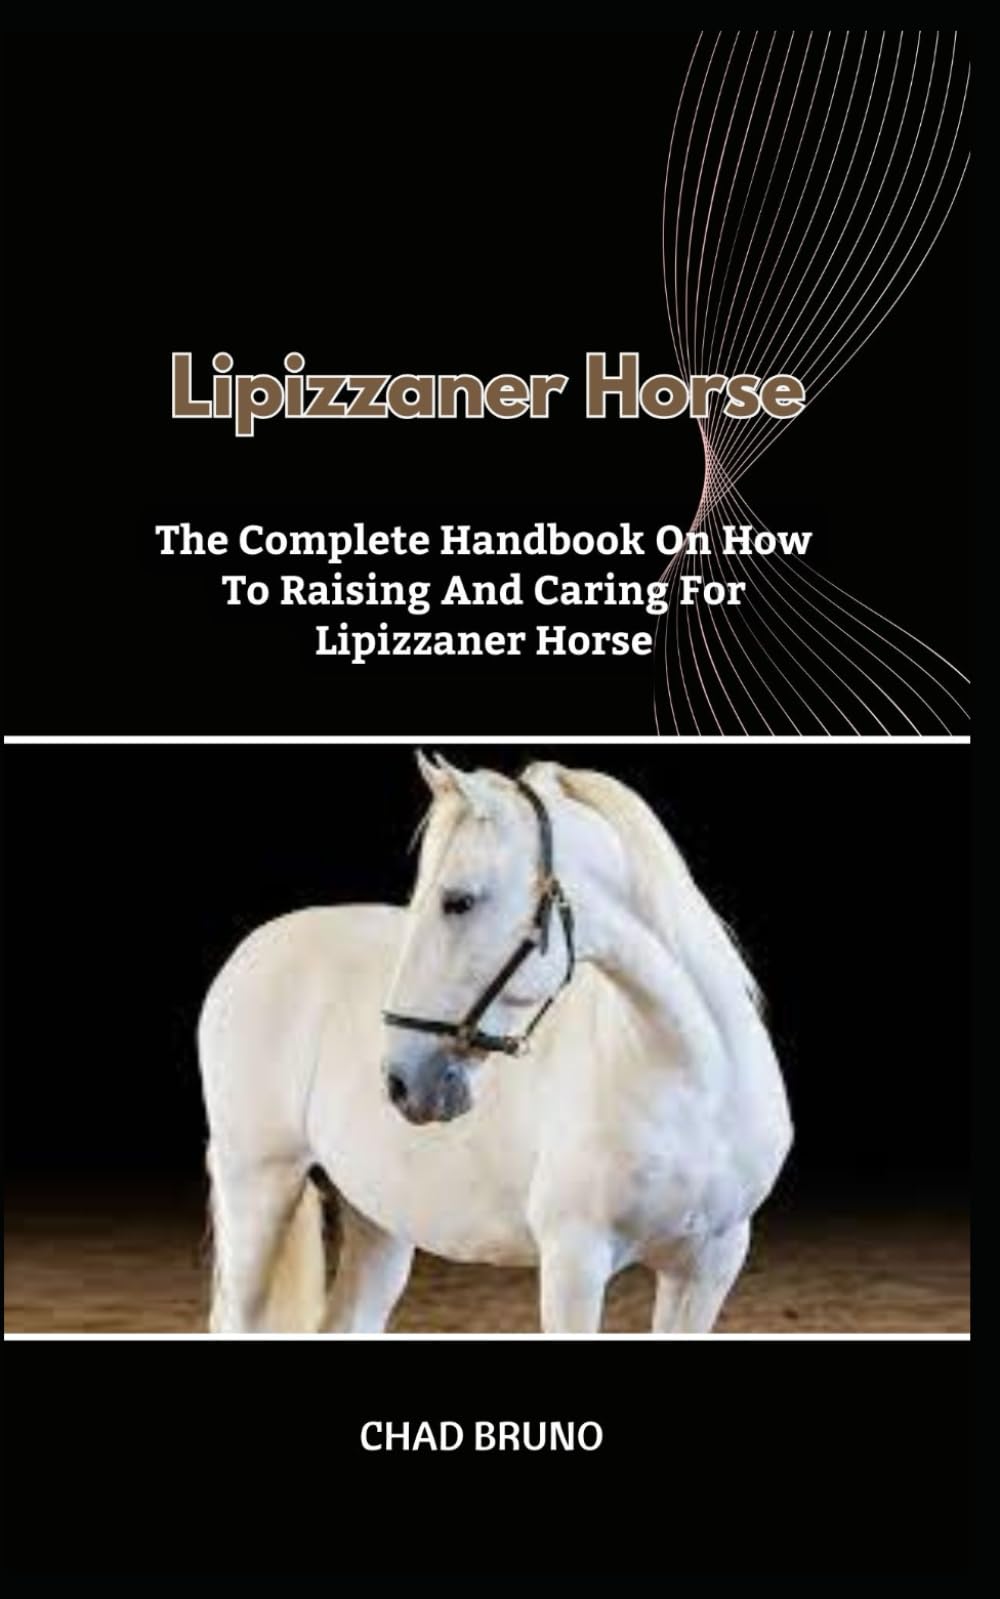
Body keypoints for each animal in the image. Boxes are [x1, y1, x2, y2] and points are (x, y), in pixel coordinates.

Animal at [198, 754, 793, 1334]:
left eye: (458, 901)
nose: (402, 1081)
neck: (692, 1084)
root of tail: (252, 948)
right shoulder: (574, 1260)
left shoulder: (709, 1267)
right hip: (258, 1183)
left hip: (376, 1216)